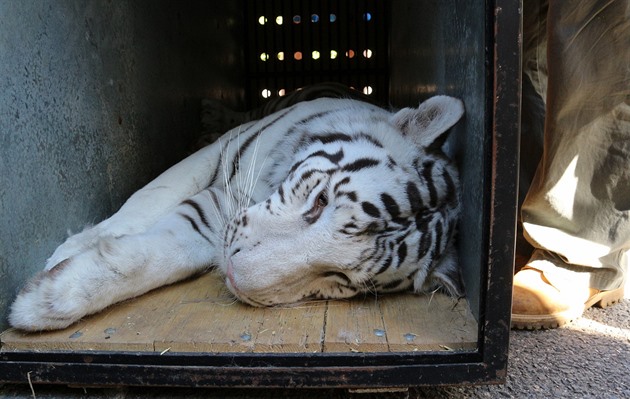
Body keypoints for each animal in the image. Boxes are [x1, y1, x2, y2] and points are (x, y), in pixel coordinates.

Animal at [8, 94, 464, 332]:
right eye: (320, 202)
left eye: (339, 279)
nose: (233, 275)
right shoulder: (218, 157)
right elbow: (148, 198)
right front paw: (67, 254)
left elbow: (163, 254)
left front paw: (48, 299)